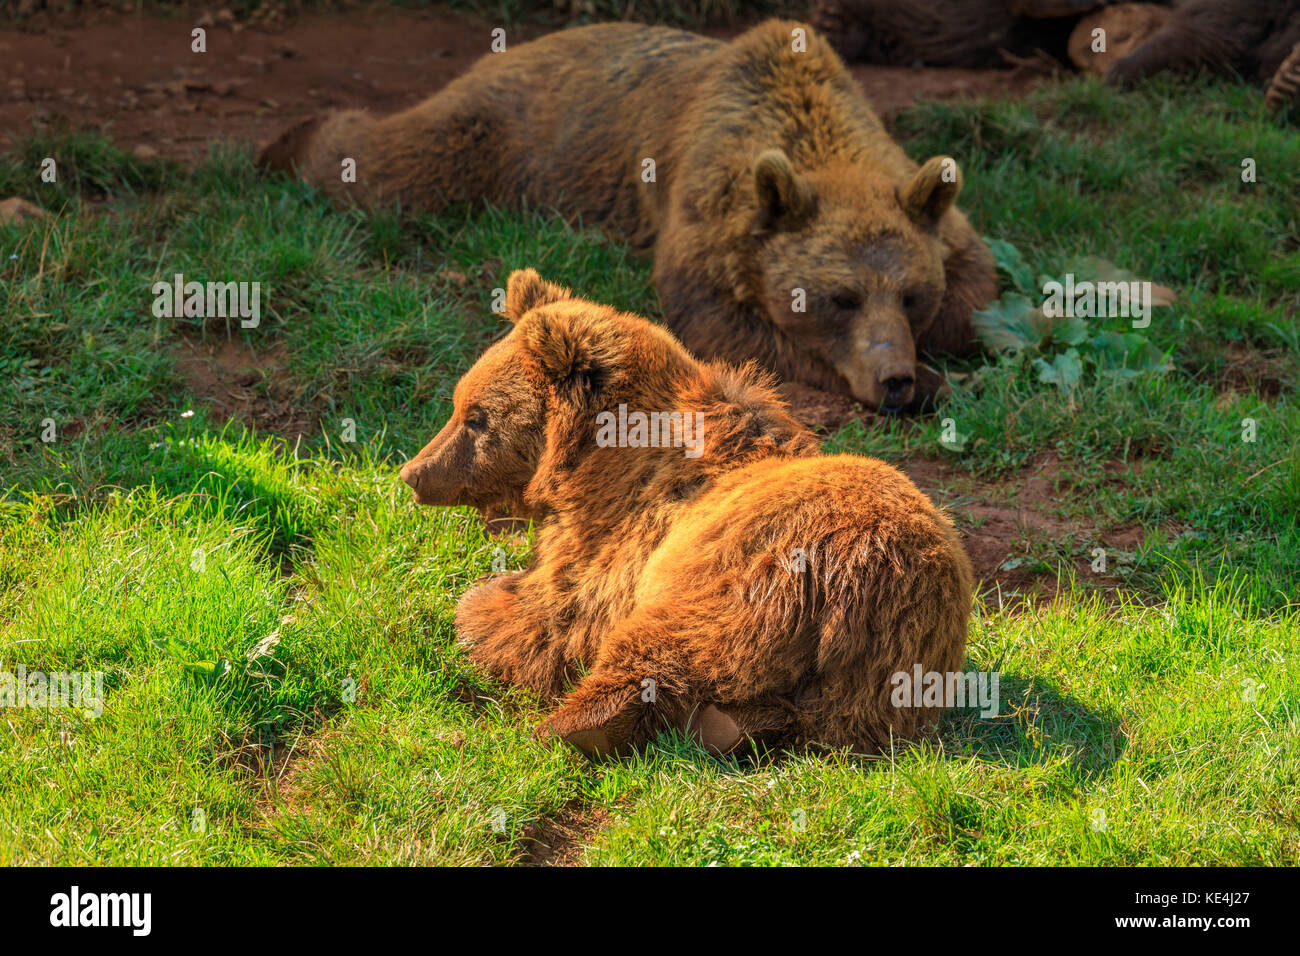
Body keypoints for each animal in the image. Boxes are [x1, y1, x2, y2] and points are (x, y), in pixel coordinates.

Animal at [261, 19, 993, 416]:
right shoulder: (706, 211)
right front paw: (926, 382)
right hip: (506, 131)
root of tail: (516, 47)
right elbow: (722, 323)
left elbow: (976, 293)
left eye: (912, 294)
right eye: (840, 297)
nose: (894, 377)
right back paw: (293, 141)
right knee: (398, 162)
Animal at [397, 270, 977, 764]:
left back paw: (577, 726)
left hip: (751, 568)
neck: (594, 461)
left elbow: (558, 610)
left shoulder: (624, 533)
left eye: (476, 418)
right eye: (460, 405)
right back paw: (732, 728)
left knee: (670, 640)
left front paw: (479, 608)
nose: (414, 472)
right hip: (875, 680)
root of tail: (870, 586)